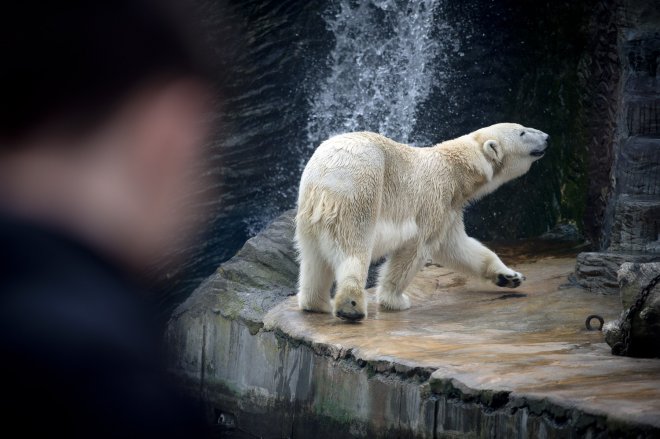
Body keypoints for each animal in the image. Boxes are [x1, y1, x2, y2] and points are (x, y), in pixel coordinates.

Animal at [296, 122, 548, 322]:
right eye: (522, 132)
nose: (547, 137)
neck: (457, 169)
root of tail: (323, 174)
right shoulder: (434, 198)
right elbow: (416, 248)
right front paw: (395, 300)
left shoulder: (450, 209)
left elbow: (457, 247)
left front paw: (510, 276)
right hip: (359, 188)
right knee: (354, 247)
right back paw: (351, 306)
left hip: (307, 212)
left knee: (314, 260)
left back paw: (317, 303)